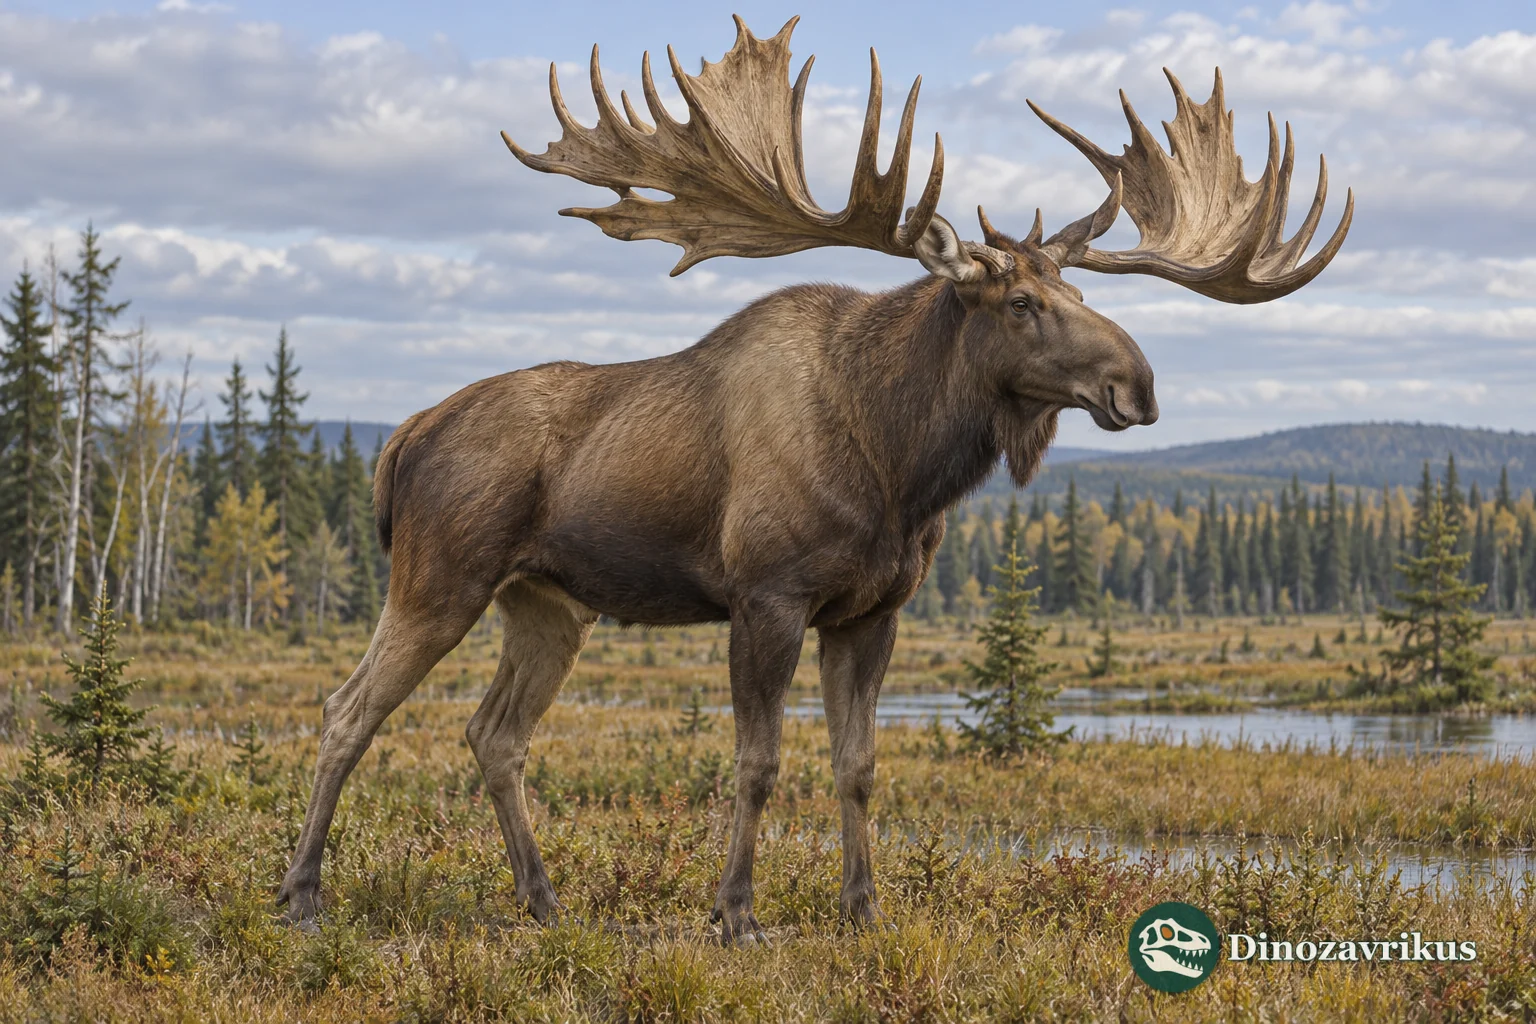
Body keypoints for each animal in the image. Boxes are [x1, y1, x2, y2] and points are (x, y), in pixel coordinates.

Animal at [278, 16, 1351, 944]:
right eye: (1018, 302)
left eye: (1079, 290)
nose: (1140, 383)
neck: (898, 467)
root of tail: (401, 438)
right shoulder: (766, 596)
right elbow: (758, 763)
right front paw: (736, 914)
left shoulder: (871, 610)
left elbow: (858, 766)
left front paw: (864, 909)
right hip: (439, 577)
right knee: (347, 711)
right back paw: (301, 893)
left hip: (548, 605)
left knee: (493, 734)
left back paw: (543, 900)